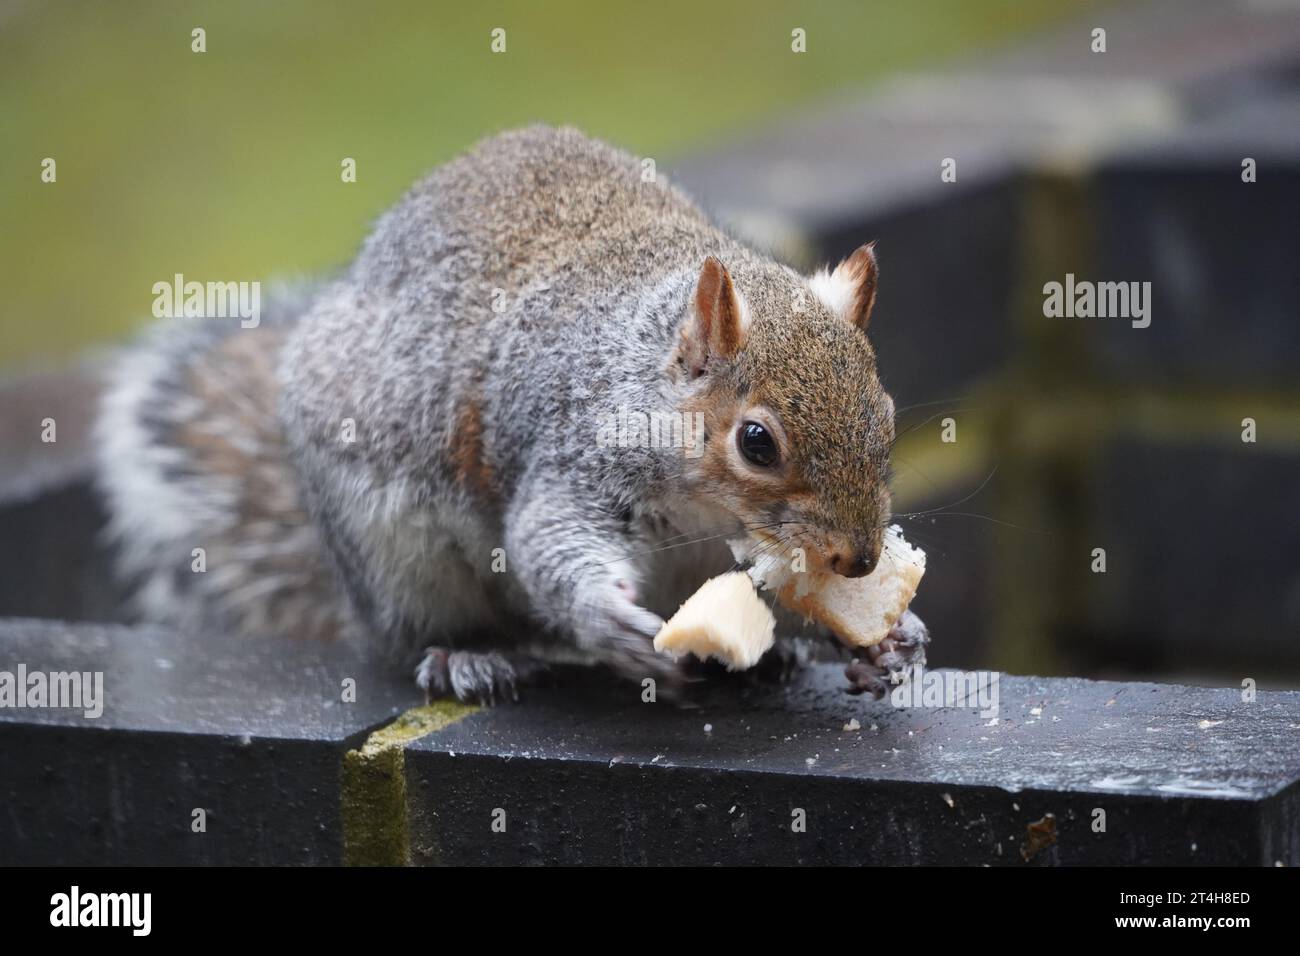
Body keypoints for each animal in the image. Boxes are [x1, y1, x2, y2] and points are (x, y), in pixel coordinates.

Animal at [96, 125, 930, 702]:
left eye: (886, 413)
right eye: (756, 442)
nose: (859, 560)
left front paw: (888, 641)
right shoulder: (580, 452)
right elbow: (544, 542)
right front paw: (608, 620)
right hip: (396, 554)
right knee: (425, 630)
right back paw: (464, 655)